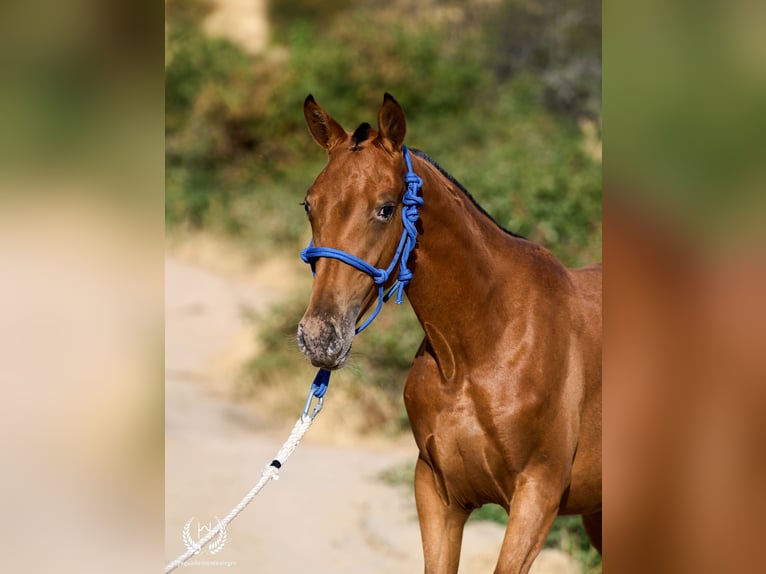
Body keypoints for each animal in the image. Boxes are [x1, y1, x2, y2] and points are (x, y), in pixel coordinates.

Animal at [296, 93, 602, 573]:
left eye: (385, 208)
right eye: (310, 205)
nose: (319, 336)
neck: (482, 345)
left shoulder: (538, 496)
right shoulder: (438, 494)